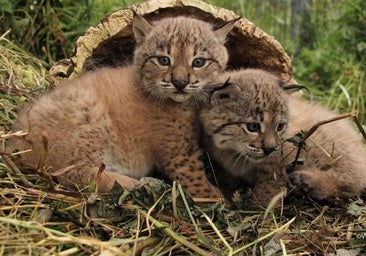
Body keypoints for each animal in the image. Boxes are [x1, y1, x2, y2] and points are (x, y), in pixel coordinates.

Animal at [200, 69, 366, 201]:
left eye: (280, 127)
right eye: (253, 126)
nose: (270, 149)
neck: (233, 151)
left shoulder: (281, 157)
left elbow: (269, 182)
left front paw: (260, 208)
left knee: (353, 179)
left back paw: (307, 181)